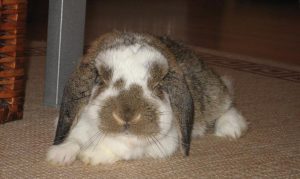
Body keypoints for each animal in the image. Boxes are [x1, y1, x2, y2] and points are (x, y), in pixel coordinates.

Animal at [47, 31, 247, 166]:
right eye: (101, 79)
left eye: (158, 84)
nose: (126, 116)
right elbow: (74, 137)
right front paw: (58, 154)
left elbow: (121, 148)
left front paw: (91, 156)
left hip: (212, 94)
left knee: (226, 104)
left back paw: (231, 128)